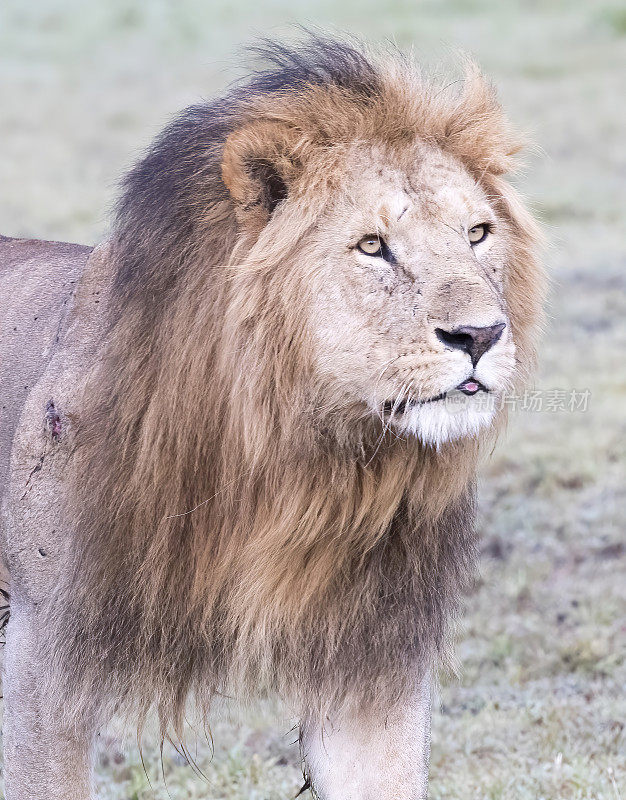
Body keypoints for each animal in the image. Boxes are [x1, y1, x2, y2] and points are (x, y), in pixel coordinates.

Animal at [0, 36, 540, 800]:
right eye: (372, 246)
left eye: (478, 233)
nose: (481, 335)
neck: (292, 455)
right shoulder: (45, 646)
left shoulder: (371, 660)